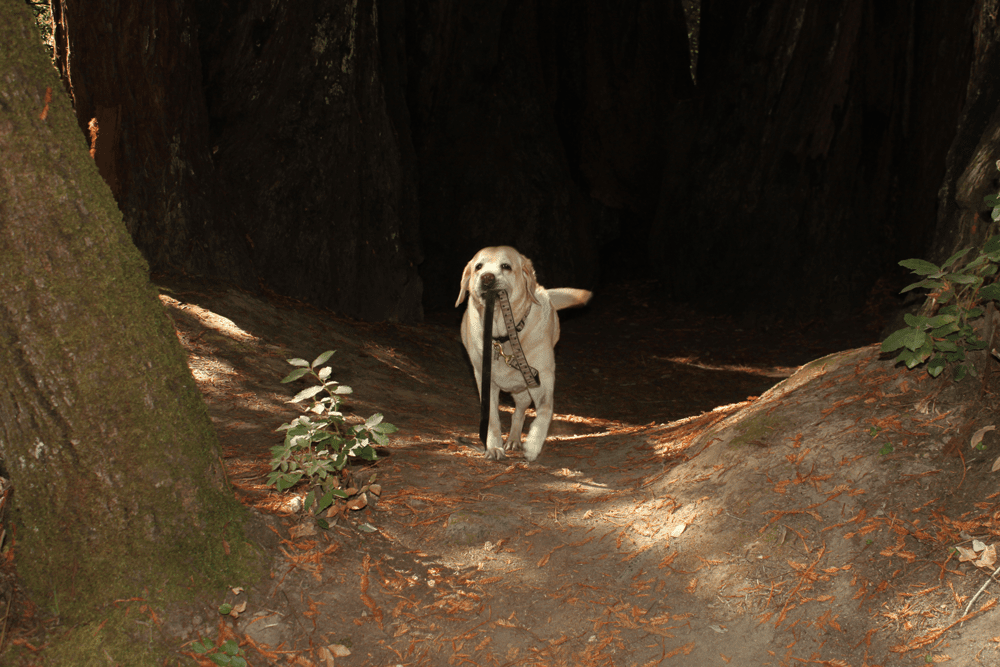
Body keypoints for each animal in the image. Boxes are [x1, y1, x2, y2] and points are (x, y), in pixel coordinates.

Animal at [458, 248, 588, 462]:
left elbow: (545, 410)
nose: (487, 277)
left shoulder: (543, 377)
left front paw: (534, 444)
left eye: (506, 266)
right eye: (478, 267)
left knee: (518, 413)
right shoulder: (485, 381)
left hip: (524, 393)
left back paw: (514, 439)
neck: (503, 337)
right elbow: (492, 418)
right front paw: (493, 447)